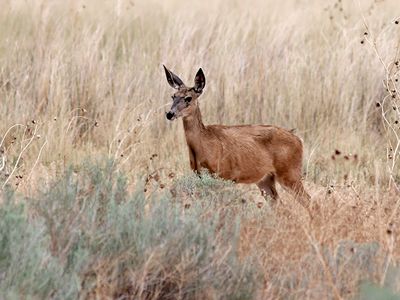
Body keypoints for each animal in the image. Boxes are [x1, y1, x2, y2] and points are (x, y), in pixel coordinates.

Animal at [164, 64, 310, 207]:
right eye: (173, 96)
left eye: (188, 98)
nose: (170, 114)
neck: (203, 142)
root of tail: (298, 140)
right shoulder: (198, 174)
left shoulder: (221, 174)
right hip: (266, 179)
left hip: (289, 172)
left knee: (309, 201)